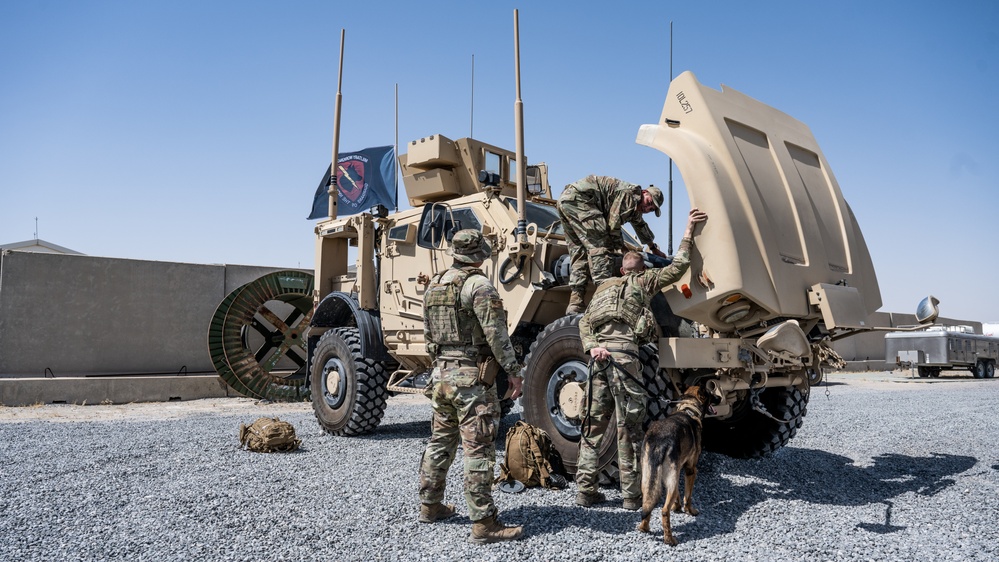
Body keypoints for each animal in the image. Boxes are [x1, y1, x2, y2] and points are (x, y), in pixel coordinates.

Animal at [640, 382, 720, 544]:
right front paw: (690, 511)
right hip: (669, 478)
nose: (720, 398)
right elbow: (687, 496)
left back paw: (644, 527)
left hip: (649, 478)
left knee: (647, 503)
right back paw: (669, 539)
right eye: (711, 394)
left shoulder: (678, 471)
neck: (688, 408)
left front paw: (676, 508)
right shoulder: (691, 470)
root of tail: (659, 442)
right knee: (664, 511)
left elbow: (678, 495)